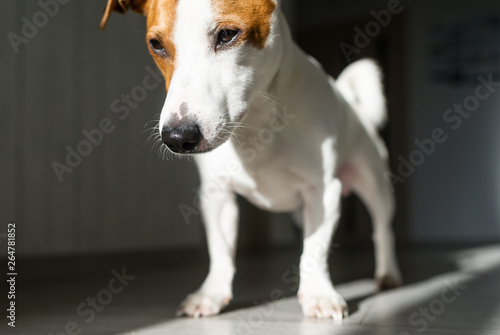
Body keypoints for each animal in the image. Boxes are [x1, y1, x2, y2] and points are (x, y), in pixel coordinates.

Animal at [100, 0, 402, 322]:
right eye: (156, 45)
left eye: (227, 35)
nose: (178, 137)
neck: (257, 124)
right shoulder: (217, 195)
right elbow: (220, 250)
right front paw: (211, 294)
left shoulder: (322, 192)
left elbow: (315, 249)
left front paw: (319, 293)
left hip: (375, 187)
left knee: (382, 230)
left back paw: (388, 272)